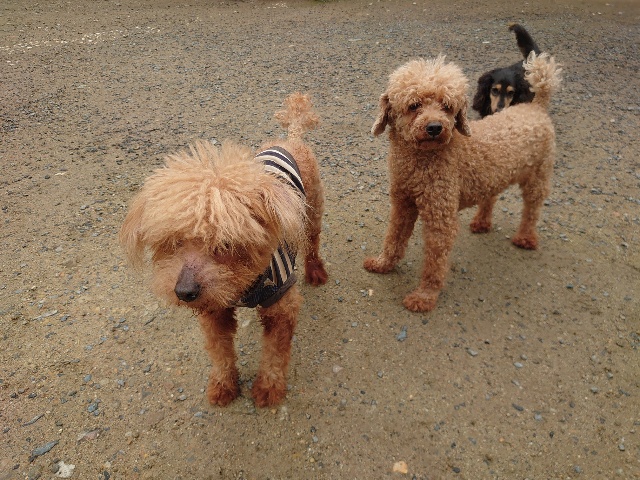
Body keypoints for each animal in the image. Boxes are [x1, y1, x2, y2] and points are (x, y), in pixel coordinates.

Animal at [120, 93, 328, 407]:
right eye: (173, 243)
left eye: (225, 244)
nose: (184, 292)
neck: (243, 286)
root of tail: (290, 137)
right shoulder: (213, 310)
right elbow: (220, 352)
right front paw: (223, 385)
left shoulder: (282, 306)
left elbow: (275, 354)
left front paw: (268, 388)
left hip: (312, 211)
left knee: (313, 241)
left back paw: (316, 270)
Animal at [364, 53, 561, 312]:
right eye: (414, 105)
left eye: (447, 107)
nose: (435, 127)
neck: (421, 161)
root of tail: (536, 106)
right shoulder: (402, 204)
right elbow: (394, 238)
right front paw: (383, 264)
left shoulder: (440, 218)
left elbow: (434, 263)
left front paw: (424, 297)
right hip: (493, 176)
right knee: (491, 196)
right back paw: (481, 223)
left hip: (538, 175)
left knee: (532, 208)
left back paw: (525, 238)